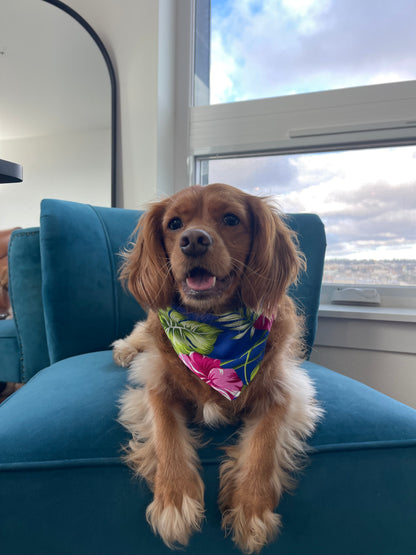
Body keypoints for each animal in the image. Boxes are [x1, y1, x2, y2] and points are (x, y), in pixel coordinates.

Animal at [113, 182, 322, 552]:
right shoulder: (155, 385)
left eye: (231, 219)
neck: (213, 328)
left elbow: (265, 442)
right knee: (137, 335)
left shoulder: (287, 391)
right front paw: (174, 499)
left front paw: (251, 508)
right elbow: (166, 432)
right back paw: (124, 350)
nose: (194, 240)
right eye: (174, 223)